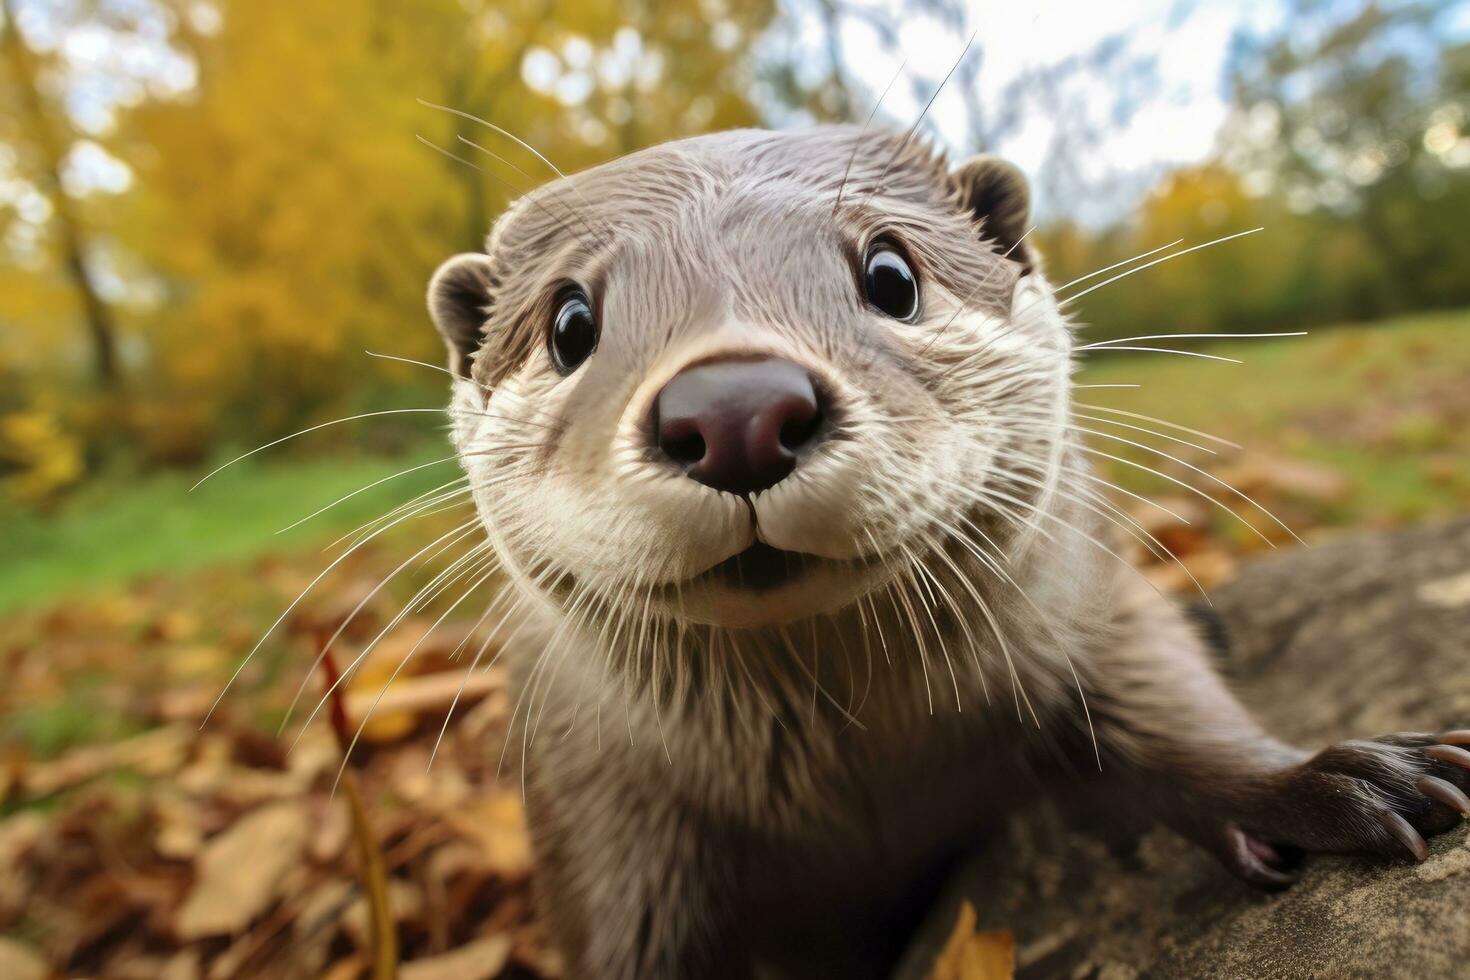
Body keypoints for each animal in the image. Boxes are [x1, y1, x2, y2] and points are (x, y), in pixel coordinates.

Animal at [426, 126, 1470, 975]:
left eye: (891, 274)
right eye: (570, 324)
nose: (734, 412)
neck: (850, 792)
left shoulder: (1092, 608)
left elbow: (1172, 712)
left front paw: (1324, 783)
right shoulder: (592, 804)